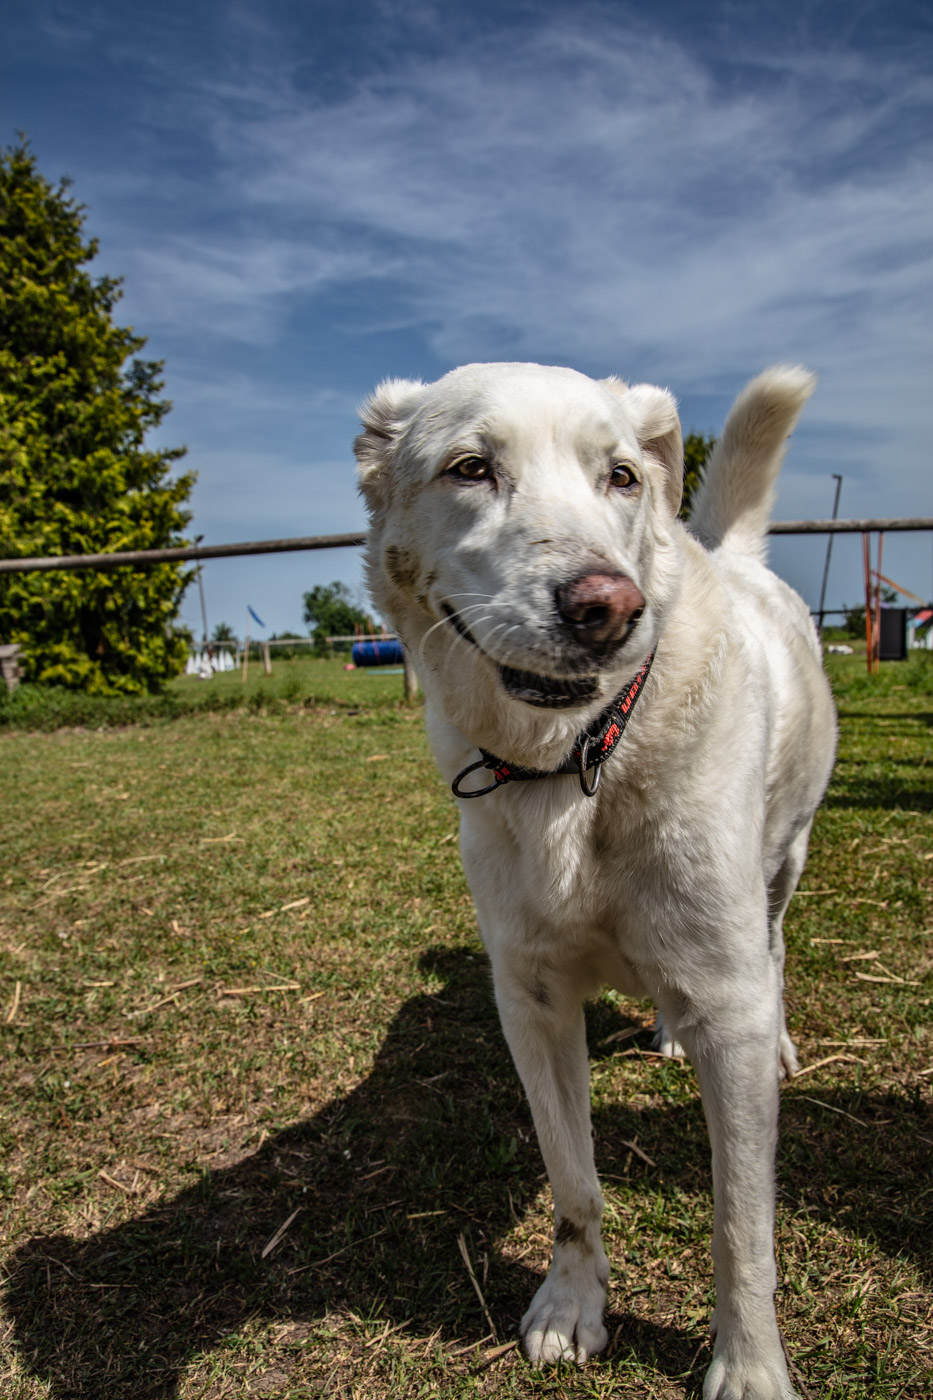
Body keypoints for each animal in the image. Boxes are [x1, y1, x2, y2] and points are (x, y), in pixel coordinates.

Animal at [353, 364, 829, 1400]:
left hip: (781, 863)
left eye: (621, 477)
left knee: (772, 948)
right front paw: (571, 1307)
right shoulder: (531, 1001)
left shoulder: (727, 1003)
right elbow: (573, 1183)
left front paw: (749, 1364)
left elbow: (741, 1223)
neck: (575, 764)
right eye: (470, 468)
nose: (606, 605)